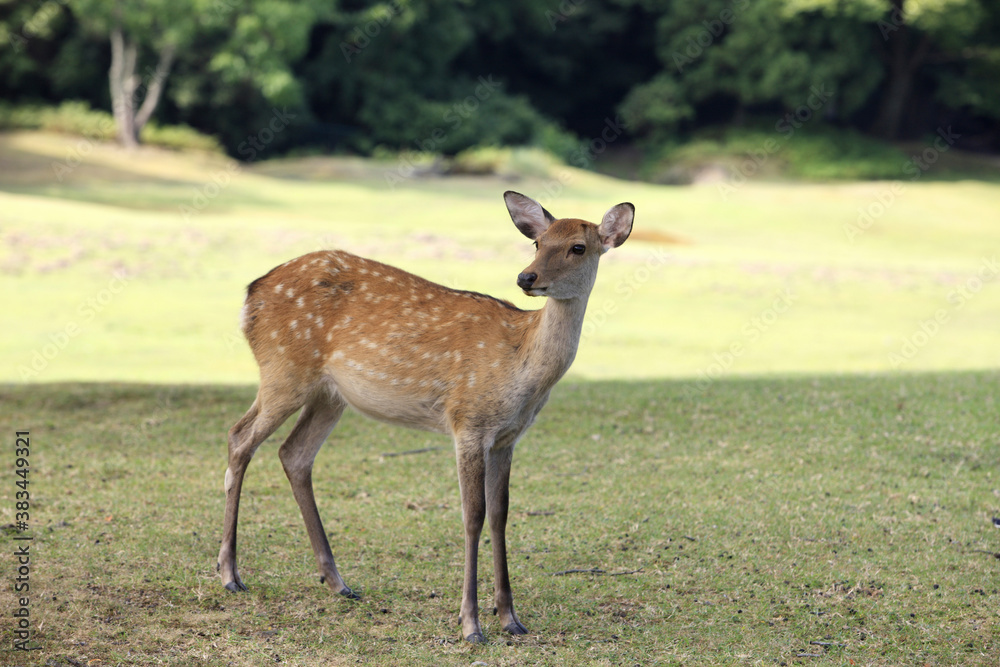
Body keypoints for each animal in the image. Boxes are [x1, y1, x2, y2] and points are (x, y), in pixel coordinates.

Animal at [218, 189, 632, 640]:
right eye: (538, 243)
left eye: (578, 247)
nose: (527, 278)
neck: (521, 368)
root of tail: (248, 296)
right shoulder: (468, 420)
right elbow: (473, 516)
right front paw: (470, 624)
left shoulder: (508, 437)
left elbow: (501, 515)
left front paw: (510, 618)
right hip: (283, 370)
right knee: (240, 437)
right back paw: (230, 574)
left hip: (329, 395)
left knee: (294, 454)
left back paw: (338, 582)